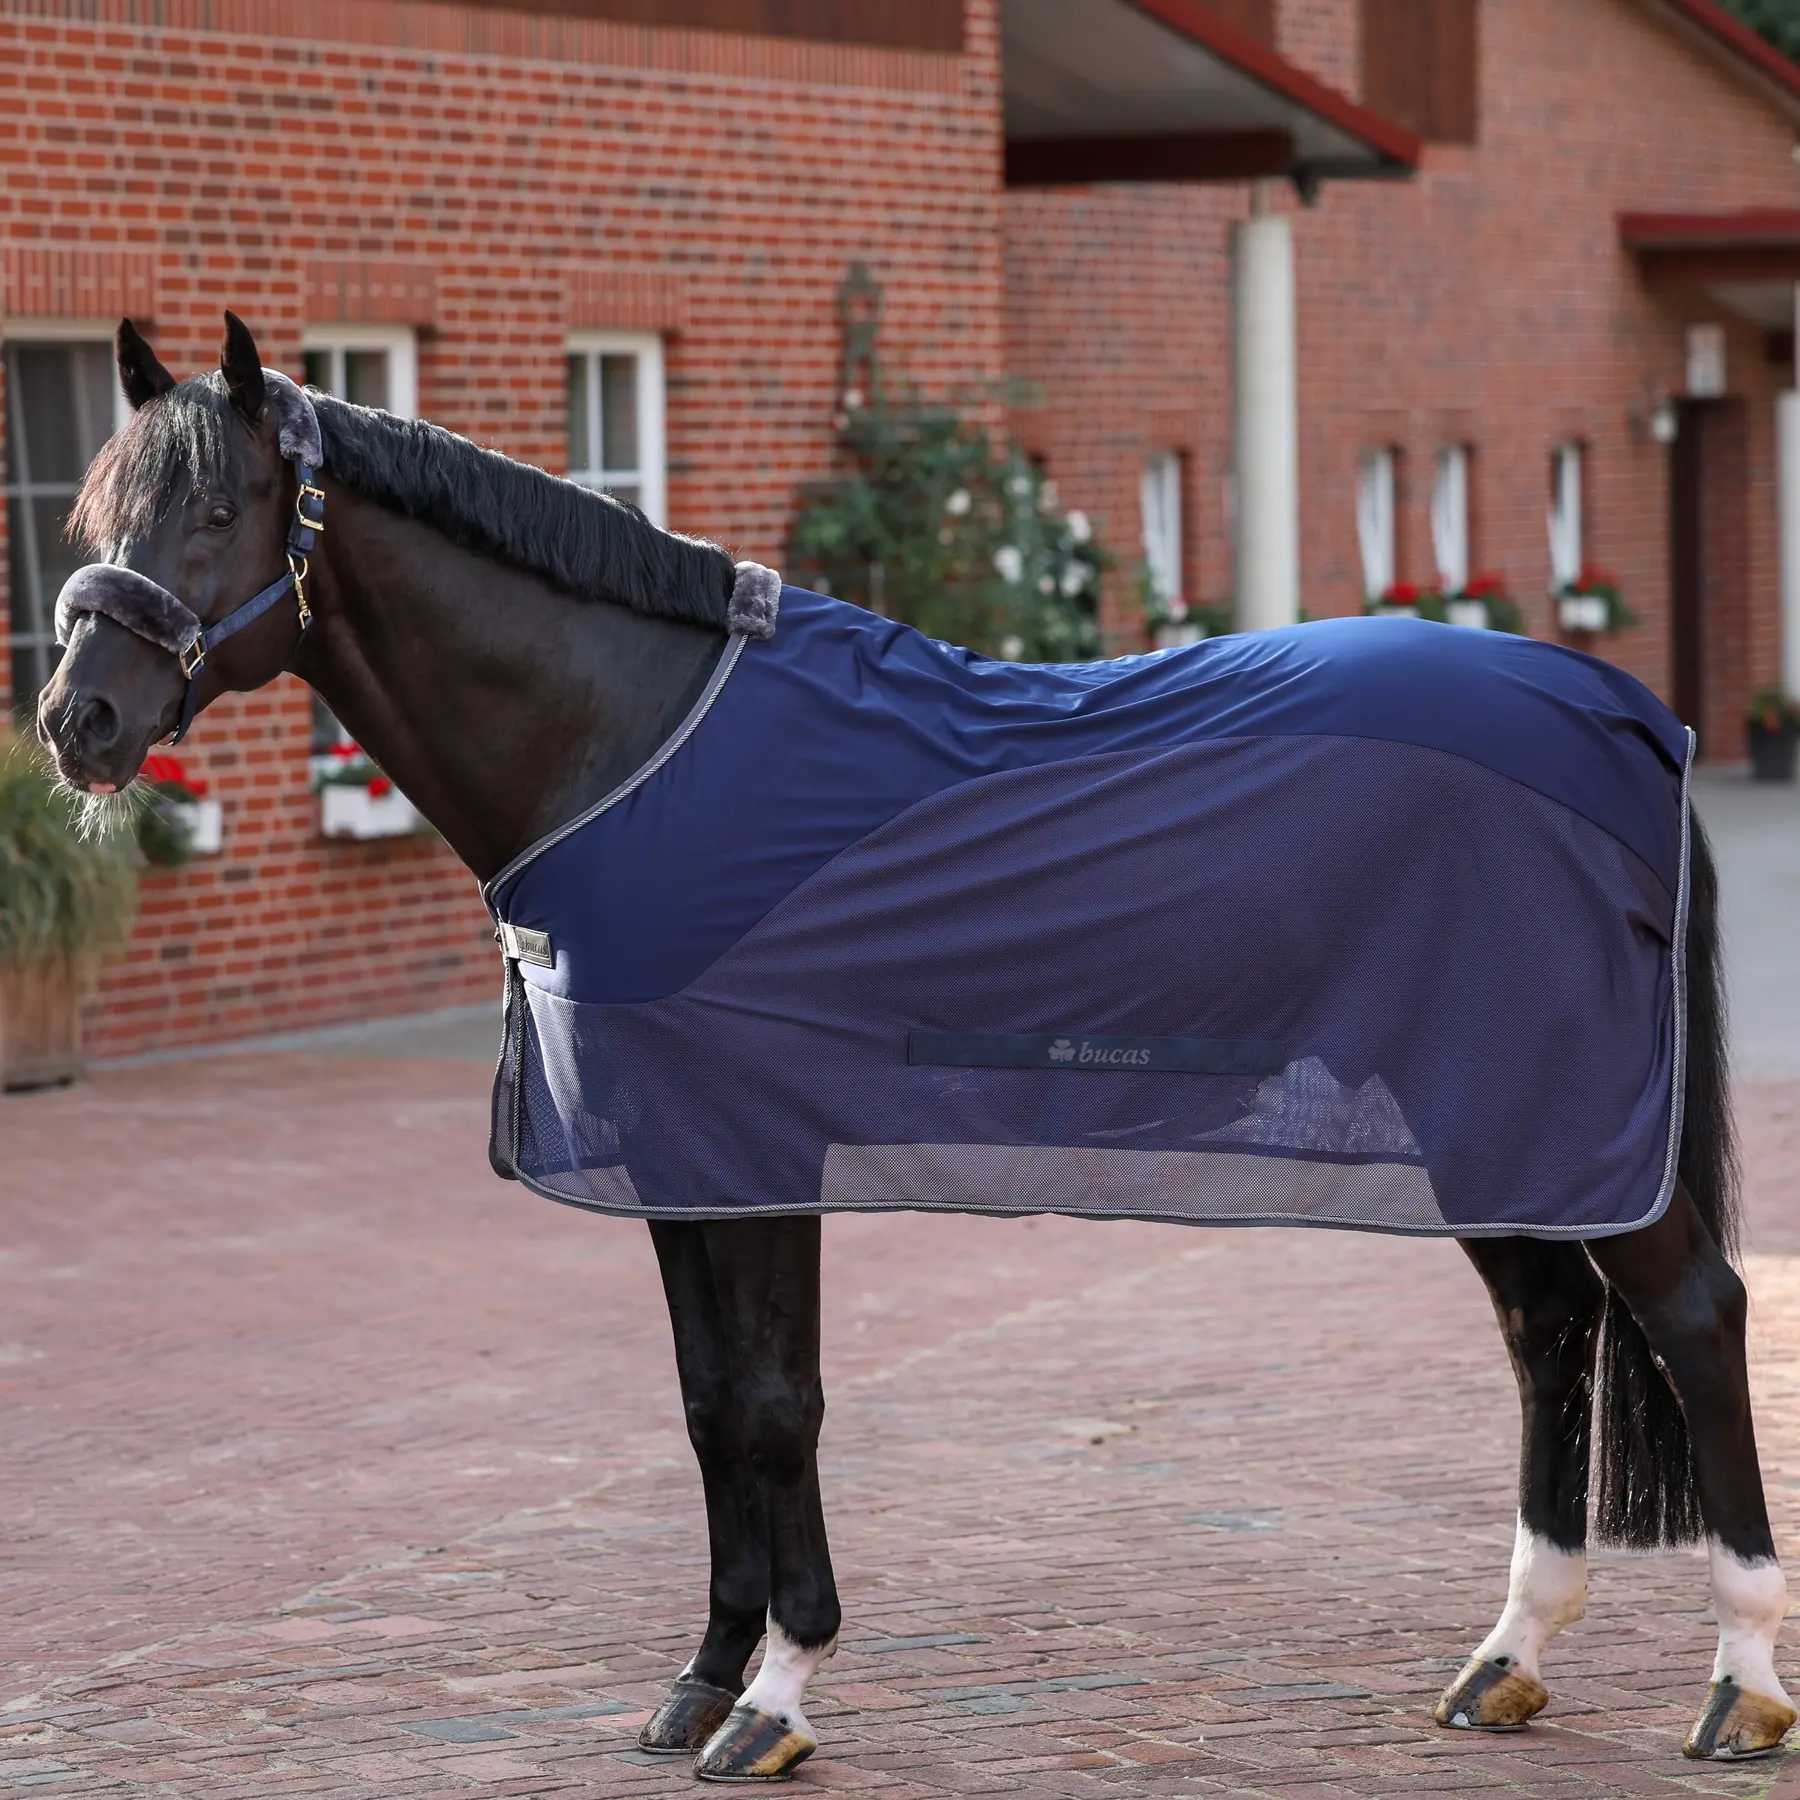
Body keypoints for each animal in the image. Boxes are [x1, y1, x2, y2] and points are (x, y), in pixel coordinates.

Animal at [33, 313, 1793, 1779]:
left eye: (214, 511)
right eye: (85, 519)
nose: (76, 724)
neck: (636, 744)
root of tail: (1625, 717)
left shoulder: (756, 1152)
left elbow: (773, 1405)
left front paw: (777, 1695)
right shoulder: (680, 1163)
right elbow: (705, 1404)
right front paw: (700, 1681)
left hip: (1547, 1108)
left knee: (1697, 1317)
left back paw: (1740, 1685)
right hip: (1488, 1110)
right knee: (1548, 1329)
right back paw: (1508, 1656)